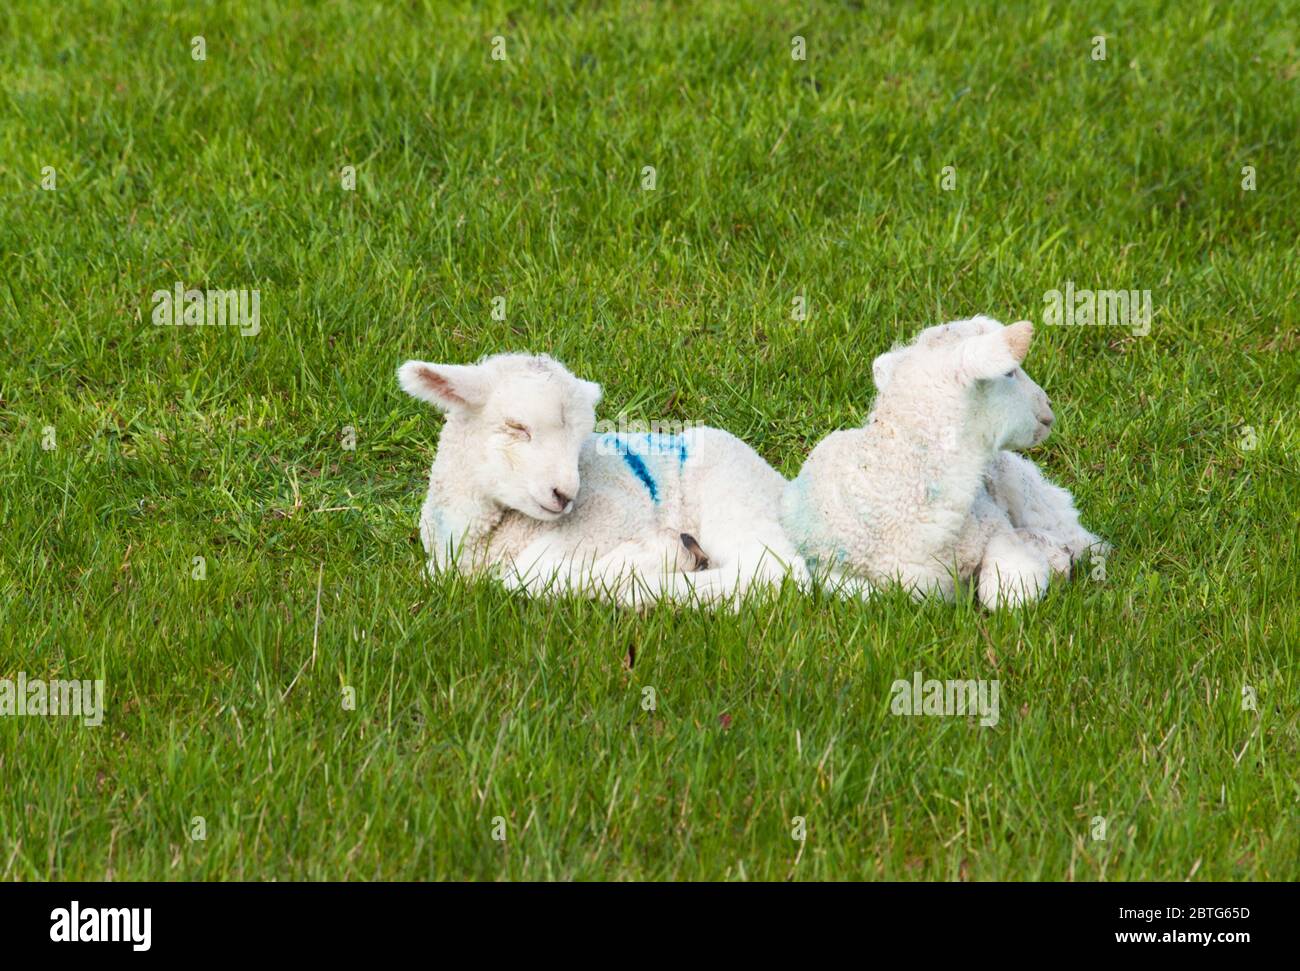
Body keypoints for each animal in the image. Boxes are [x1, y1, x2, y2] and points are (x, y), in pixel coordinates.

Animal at [397, 348, 800, 608]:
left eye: (579, 440)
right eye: (517, 427)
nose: (564, 495)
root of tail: (783, 485)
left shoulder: (613, 512)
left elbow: (525, 575)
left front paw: (657, 555)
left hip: (733, 491)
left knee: (775, 572)